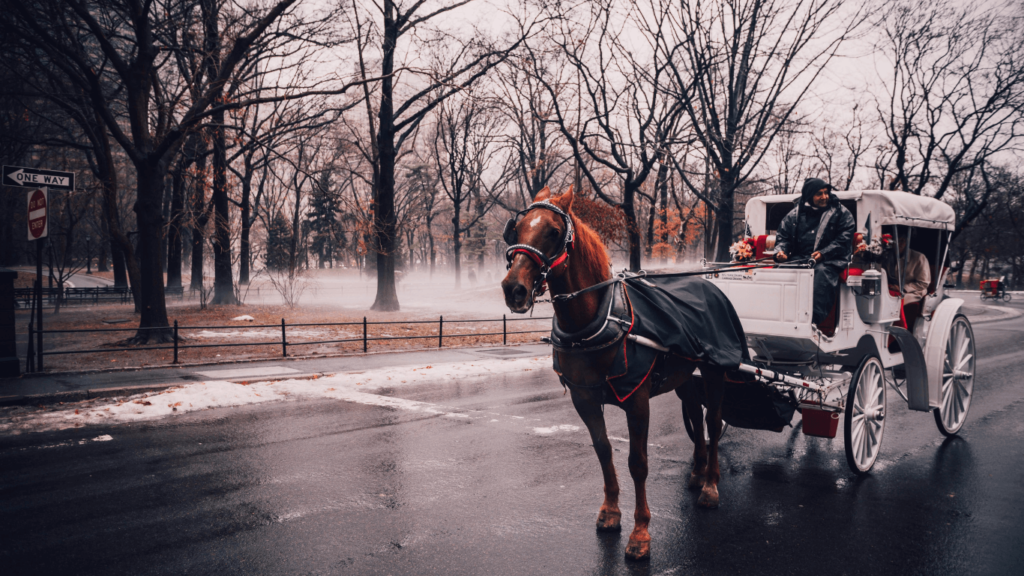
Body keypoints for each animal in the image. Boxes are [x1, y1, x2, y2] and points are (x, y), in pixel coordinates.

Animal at [499, 184, 724, 561]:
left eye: (554, 232)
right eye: (515, 230)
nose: (513, 288)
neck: (595, 320)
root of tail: (706, 284)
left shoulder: (637, 399)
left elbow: (638, 462)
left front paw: (641, 532)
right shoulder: (584, 397)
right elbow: (603, 450)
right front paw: (610, 512)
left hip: (714, 371)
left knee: (713, 421)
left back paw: (710, 485)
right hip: (684, 376)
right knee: (694, 411)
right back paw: (696, 472)